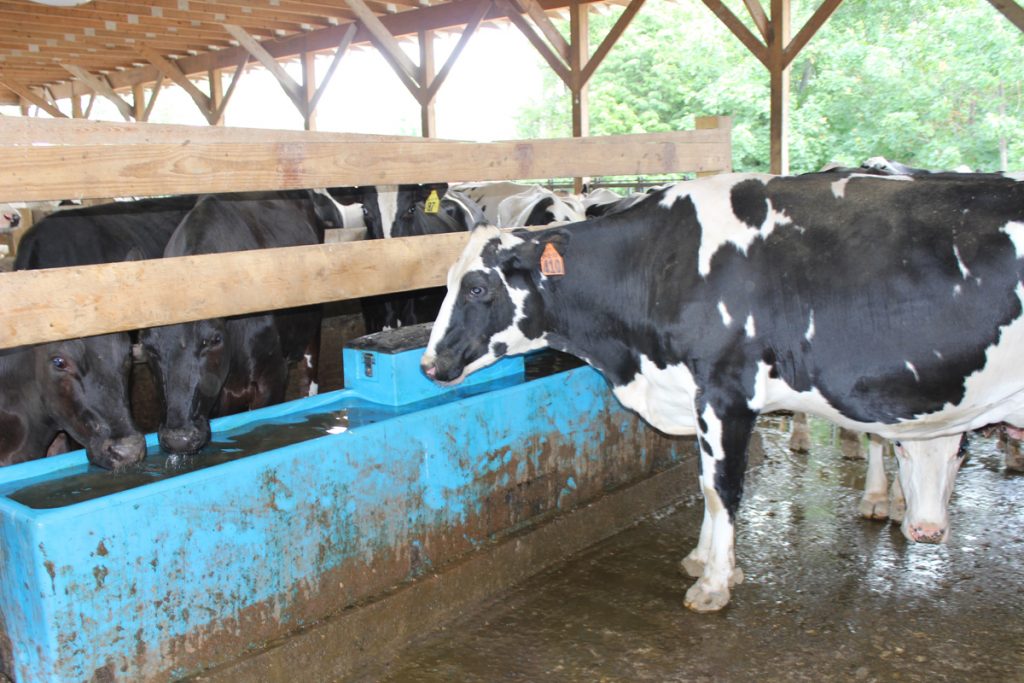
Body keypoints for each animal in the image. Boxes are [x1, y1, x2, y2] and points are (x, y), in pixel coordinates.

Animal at [419, 171, 1024, 614]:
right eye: (445, 284)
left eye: (477, 288)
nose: (429, 364)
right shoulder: (699, 397)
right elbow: (705, 482)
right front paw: (705, 559)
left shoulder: (726, 393)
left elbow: (721, 487)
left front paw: (715, 583)